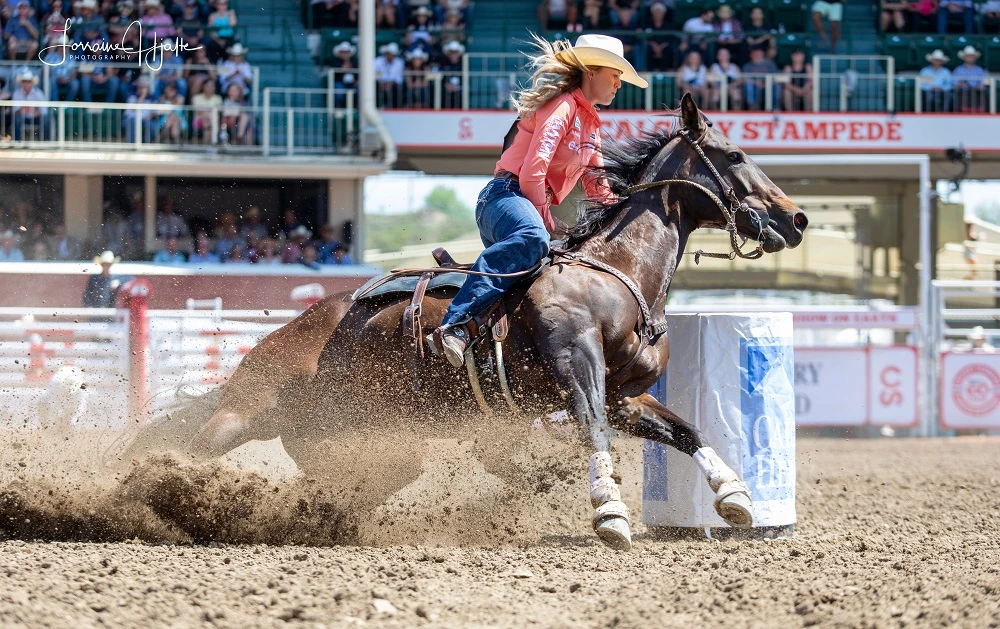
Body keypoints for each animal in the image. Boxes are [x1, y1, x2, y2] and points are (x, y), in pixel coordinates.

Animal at [127, 93, 812, 548]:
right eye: (734, 153)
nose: (797, 217)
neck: (613, 273)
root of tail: (289, 333)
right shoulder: (579, 369)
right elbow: (593, 431)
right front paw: (610, 514)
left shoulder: (624, 393)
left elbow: (686, 429)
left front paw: (736, 496)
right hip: (248, 412)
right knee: (183, 447)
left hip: (363, 441)